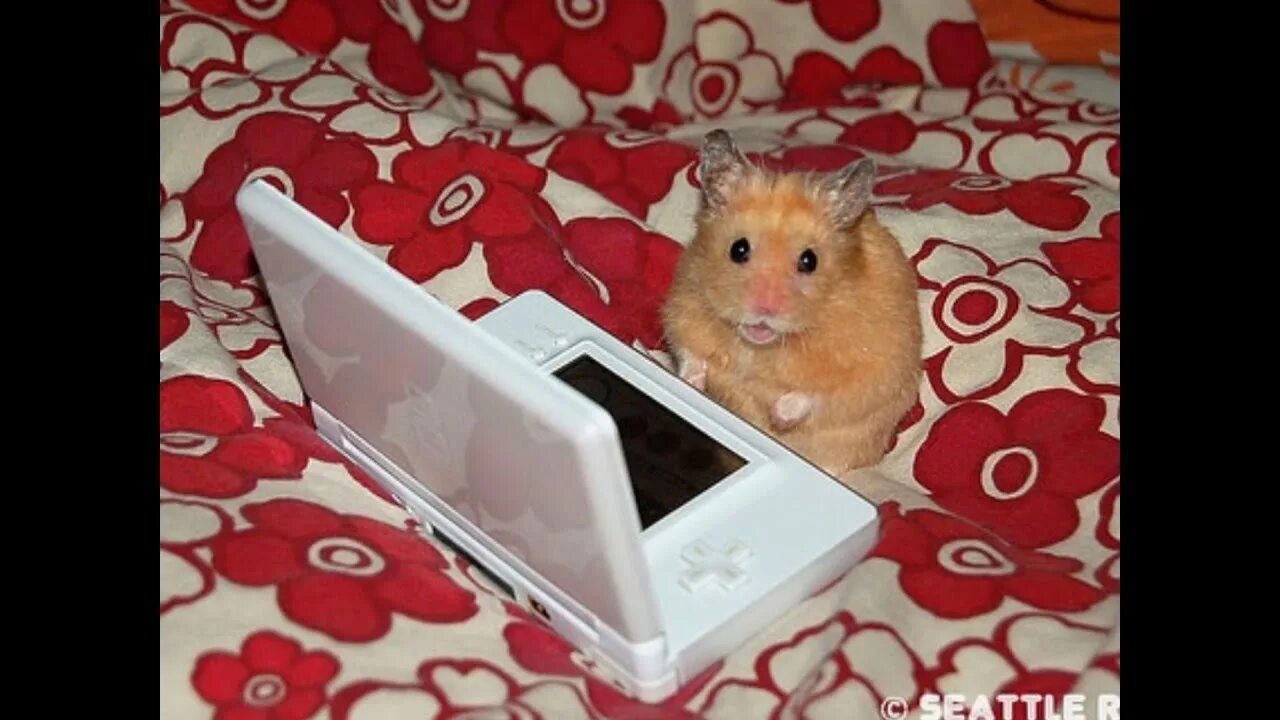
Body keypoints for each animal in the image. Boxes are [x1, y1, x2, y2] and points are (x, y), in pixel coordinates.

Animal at [661, 130, 922, 479]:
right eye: (738, 249)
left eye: (810, 260)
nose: (764, 311)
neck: (760, 347)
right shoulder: (684, 307)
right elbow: (690, 354)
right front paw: (691, 383)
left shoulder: (871, 369)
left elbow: (819, 396)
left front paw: (777, 414)